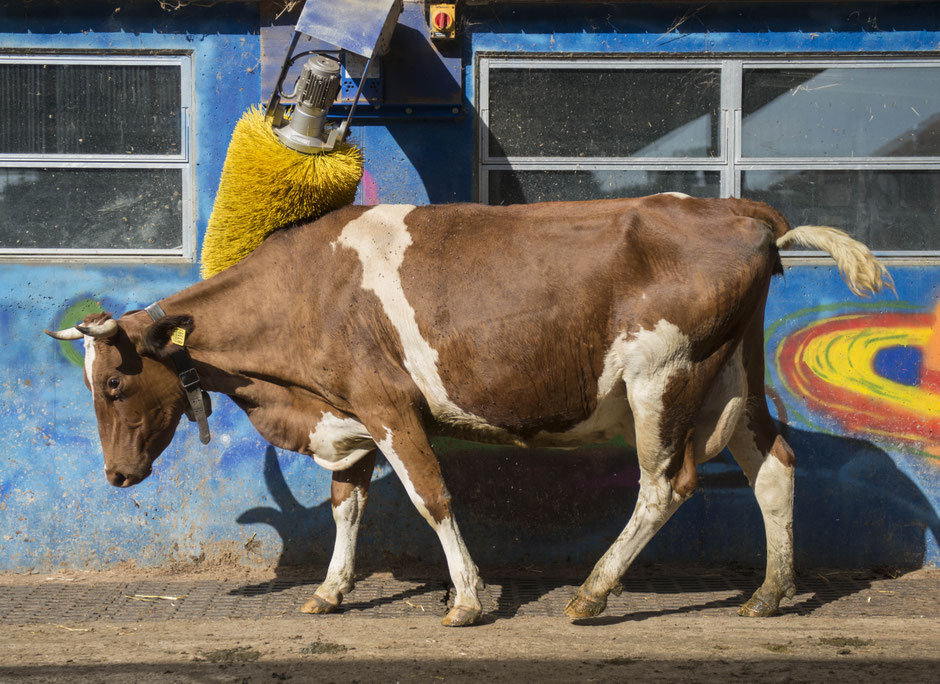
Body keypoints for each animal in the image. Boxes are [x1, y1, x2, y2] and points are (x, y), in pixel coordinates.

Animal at [46, 195, 892, 626]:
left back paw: (592, 594)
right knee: (774, 465)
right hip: (732, 381)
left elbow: (431, 498)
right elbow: (347, 505)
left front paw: (465, 599)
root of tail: (738, 210)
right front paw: (329, 591)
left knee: (664, 486)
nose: (116, 475)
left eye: (114, 385)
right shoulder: (347, 415)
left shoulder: (387, 404)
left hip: (664, 381)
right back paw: (770, 592)